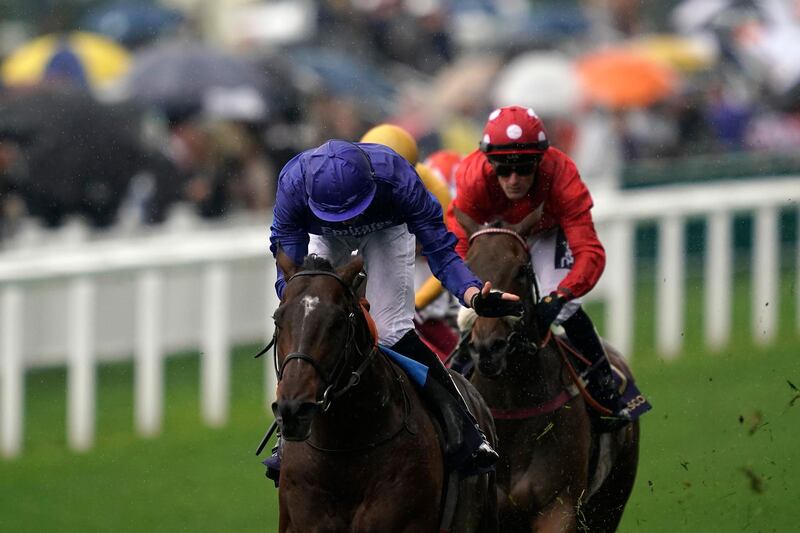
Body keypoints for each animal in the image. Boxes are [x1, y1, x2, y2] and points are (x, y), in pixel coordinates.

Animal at [454, 209, 640, 532]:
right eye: (469, 266)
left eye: (522, 270)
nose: (489, 347)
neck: (513, 404)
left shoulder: (559, 507)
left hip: (610, 501)